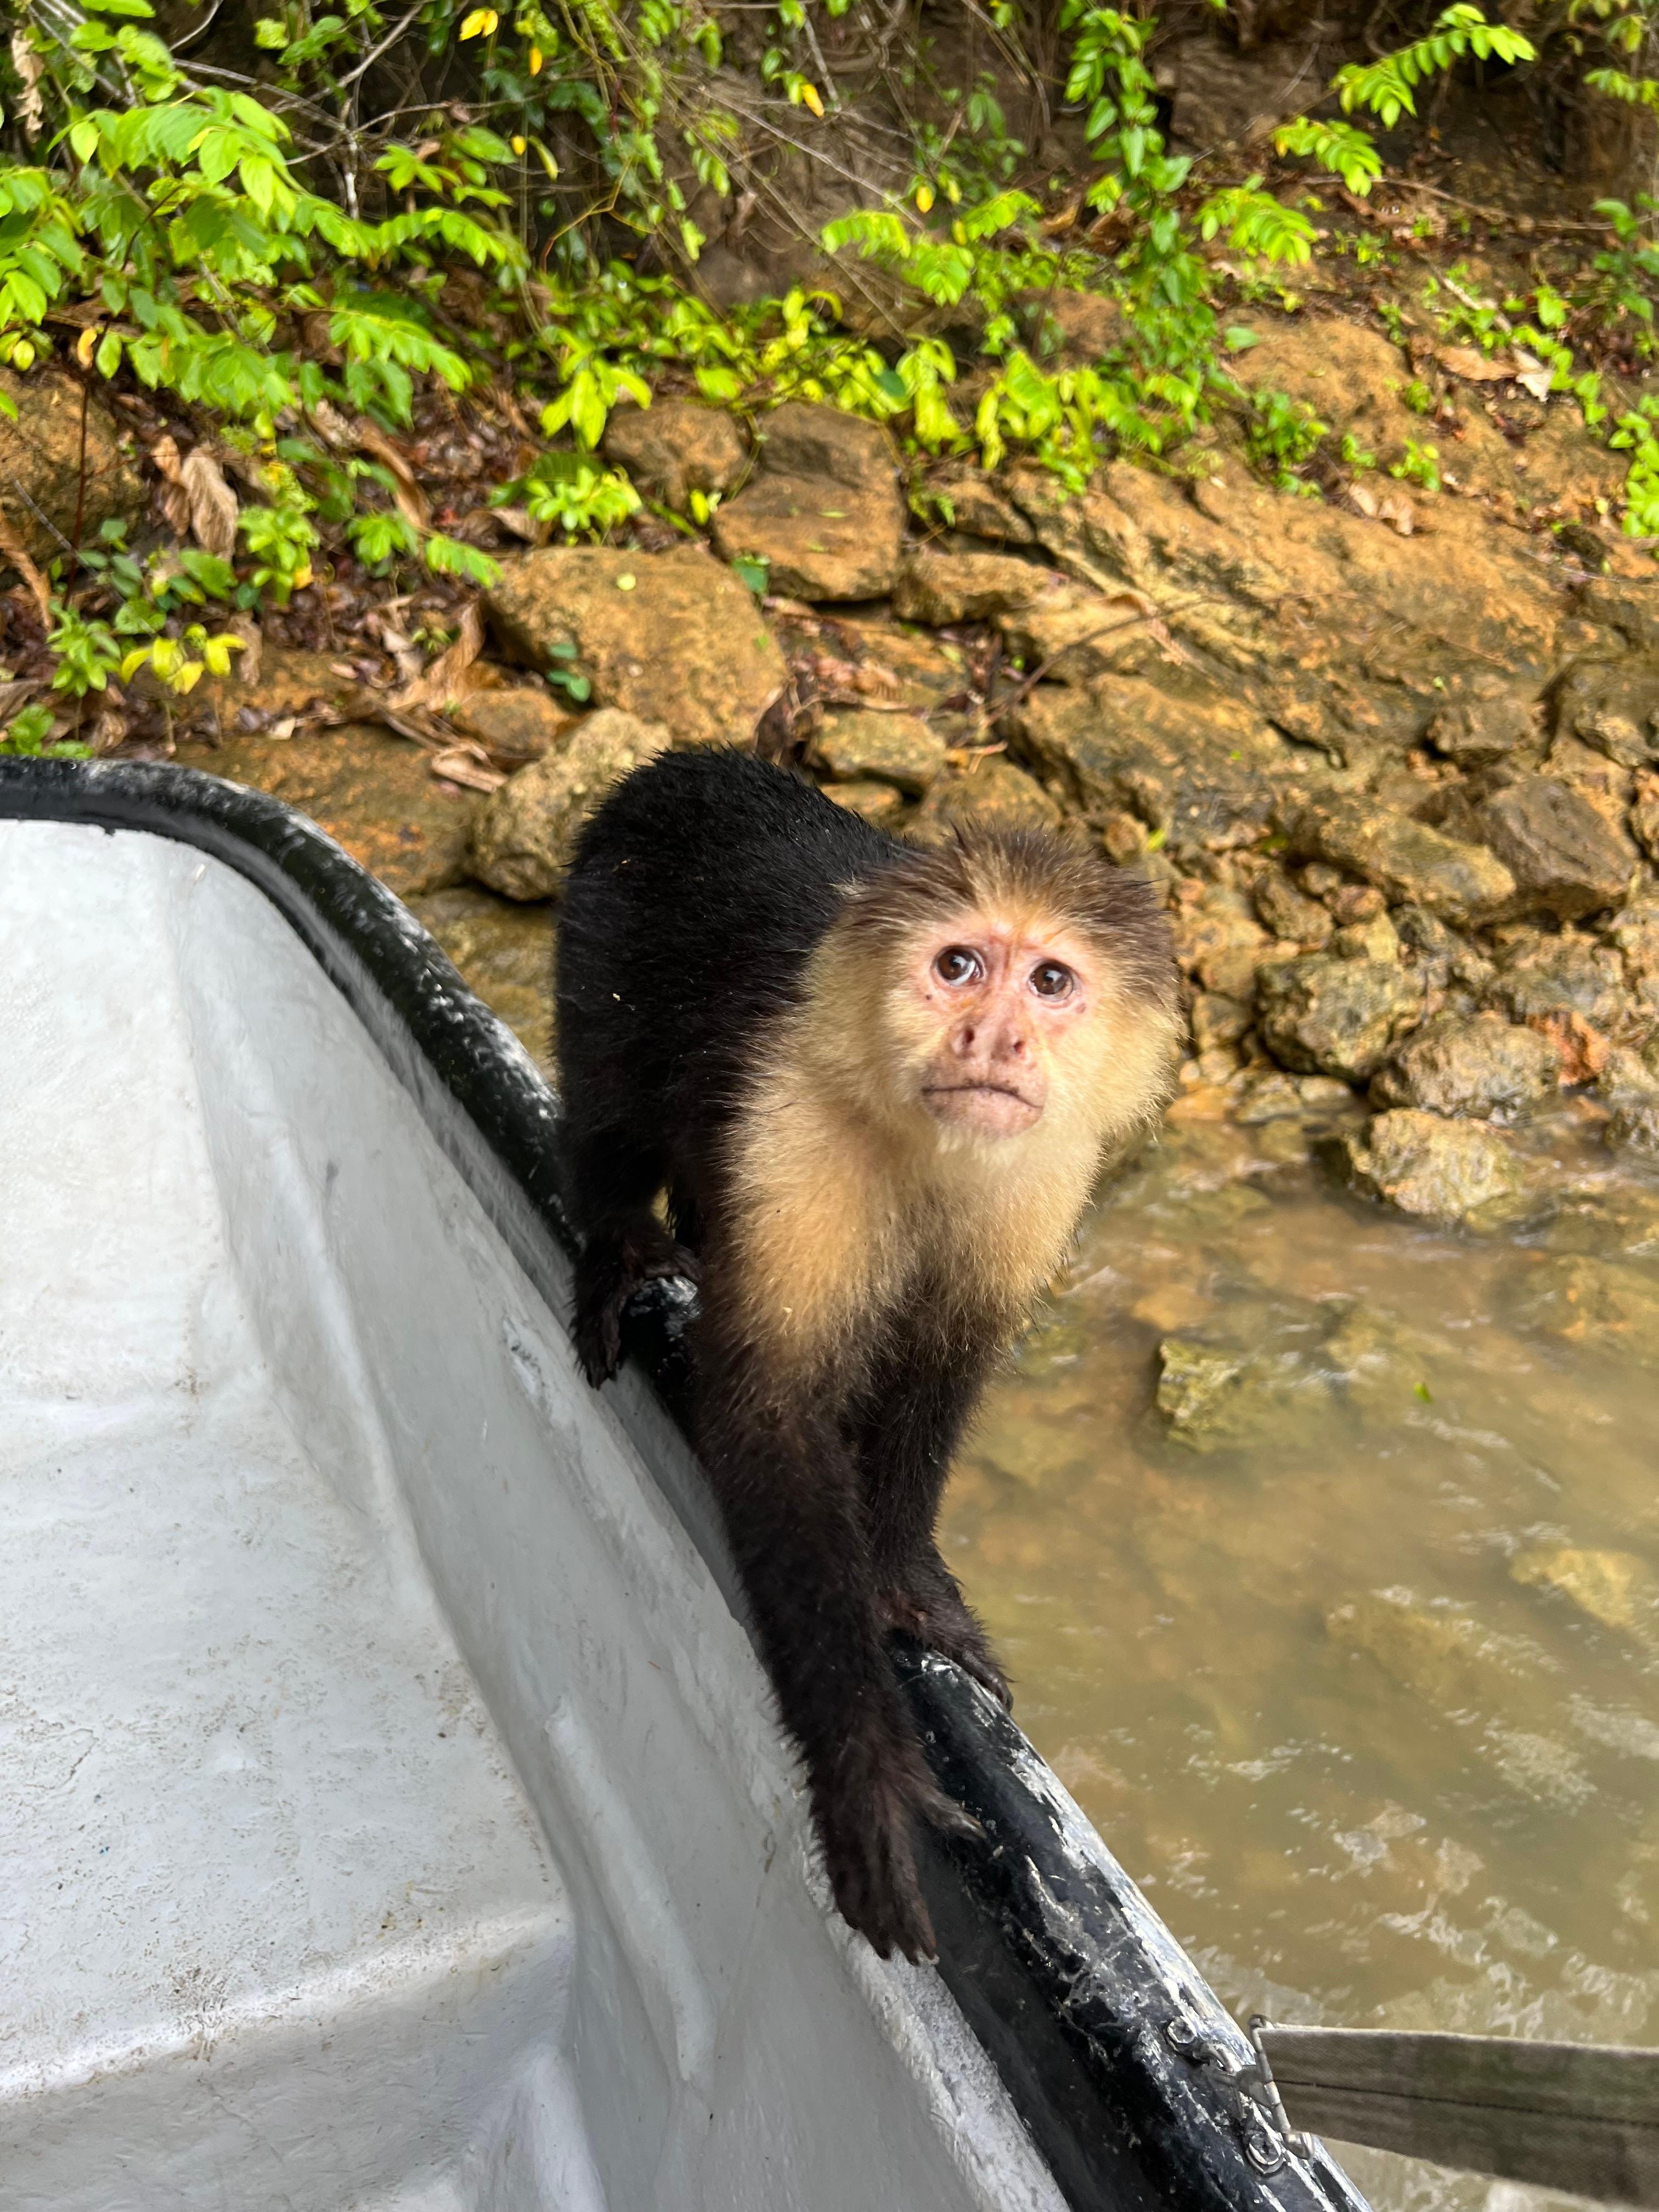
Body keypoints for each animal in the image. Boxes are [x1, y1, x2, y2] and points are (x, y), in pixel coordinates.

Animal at [554, 747, 1180, 1961]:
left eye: (1050, 983)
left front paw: (905, 1584)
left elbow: (940, 1372)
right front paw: (866, 1772)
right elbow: (769, 1418)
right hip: (598, 923)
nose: (994, 1041)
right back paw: (619, 1246)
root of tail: (683, 762)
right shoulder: (794, 1127)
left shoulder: (1042, 1178)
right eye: (957, 966)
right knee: (613, 1106)